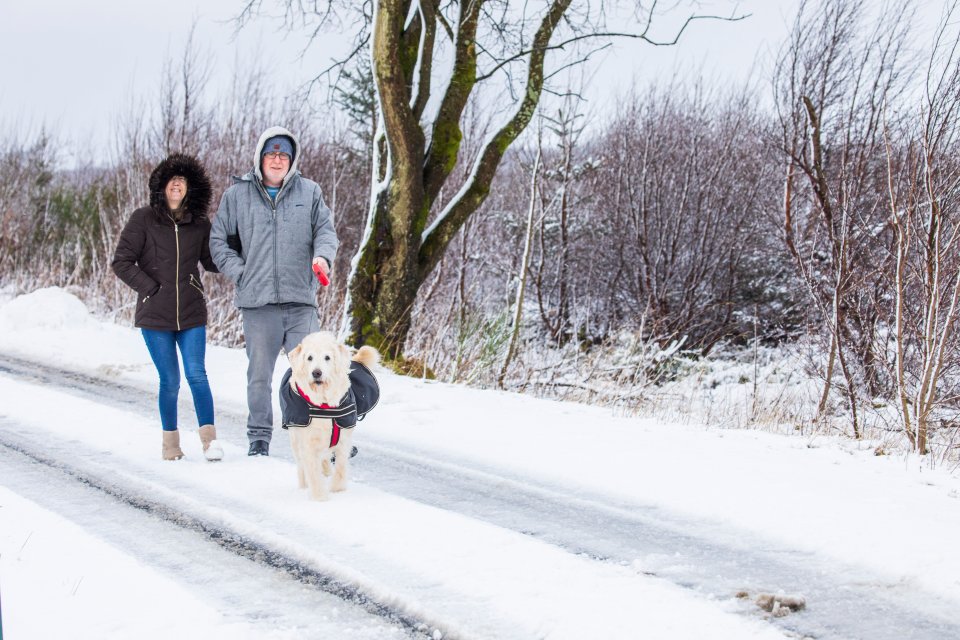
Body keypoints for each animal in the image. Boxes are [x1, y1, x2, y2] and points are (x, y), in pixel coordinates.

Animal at [284, 332, 378, 502]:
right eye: (309, 357)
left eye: (327, 357)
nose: (317, 373)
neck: (324, 405)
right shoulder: (308, 443)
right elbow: (313, 472)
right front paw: (320, 497)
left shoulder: (343, 439)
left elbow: (340, 467)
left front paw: (337, 490)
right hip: (295, 440)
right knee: (302, 466)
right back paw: (304, 486)